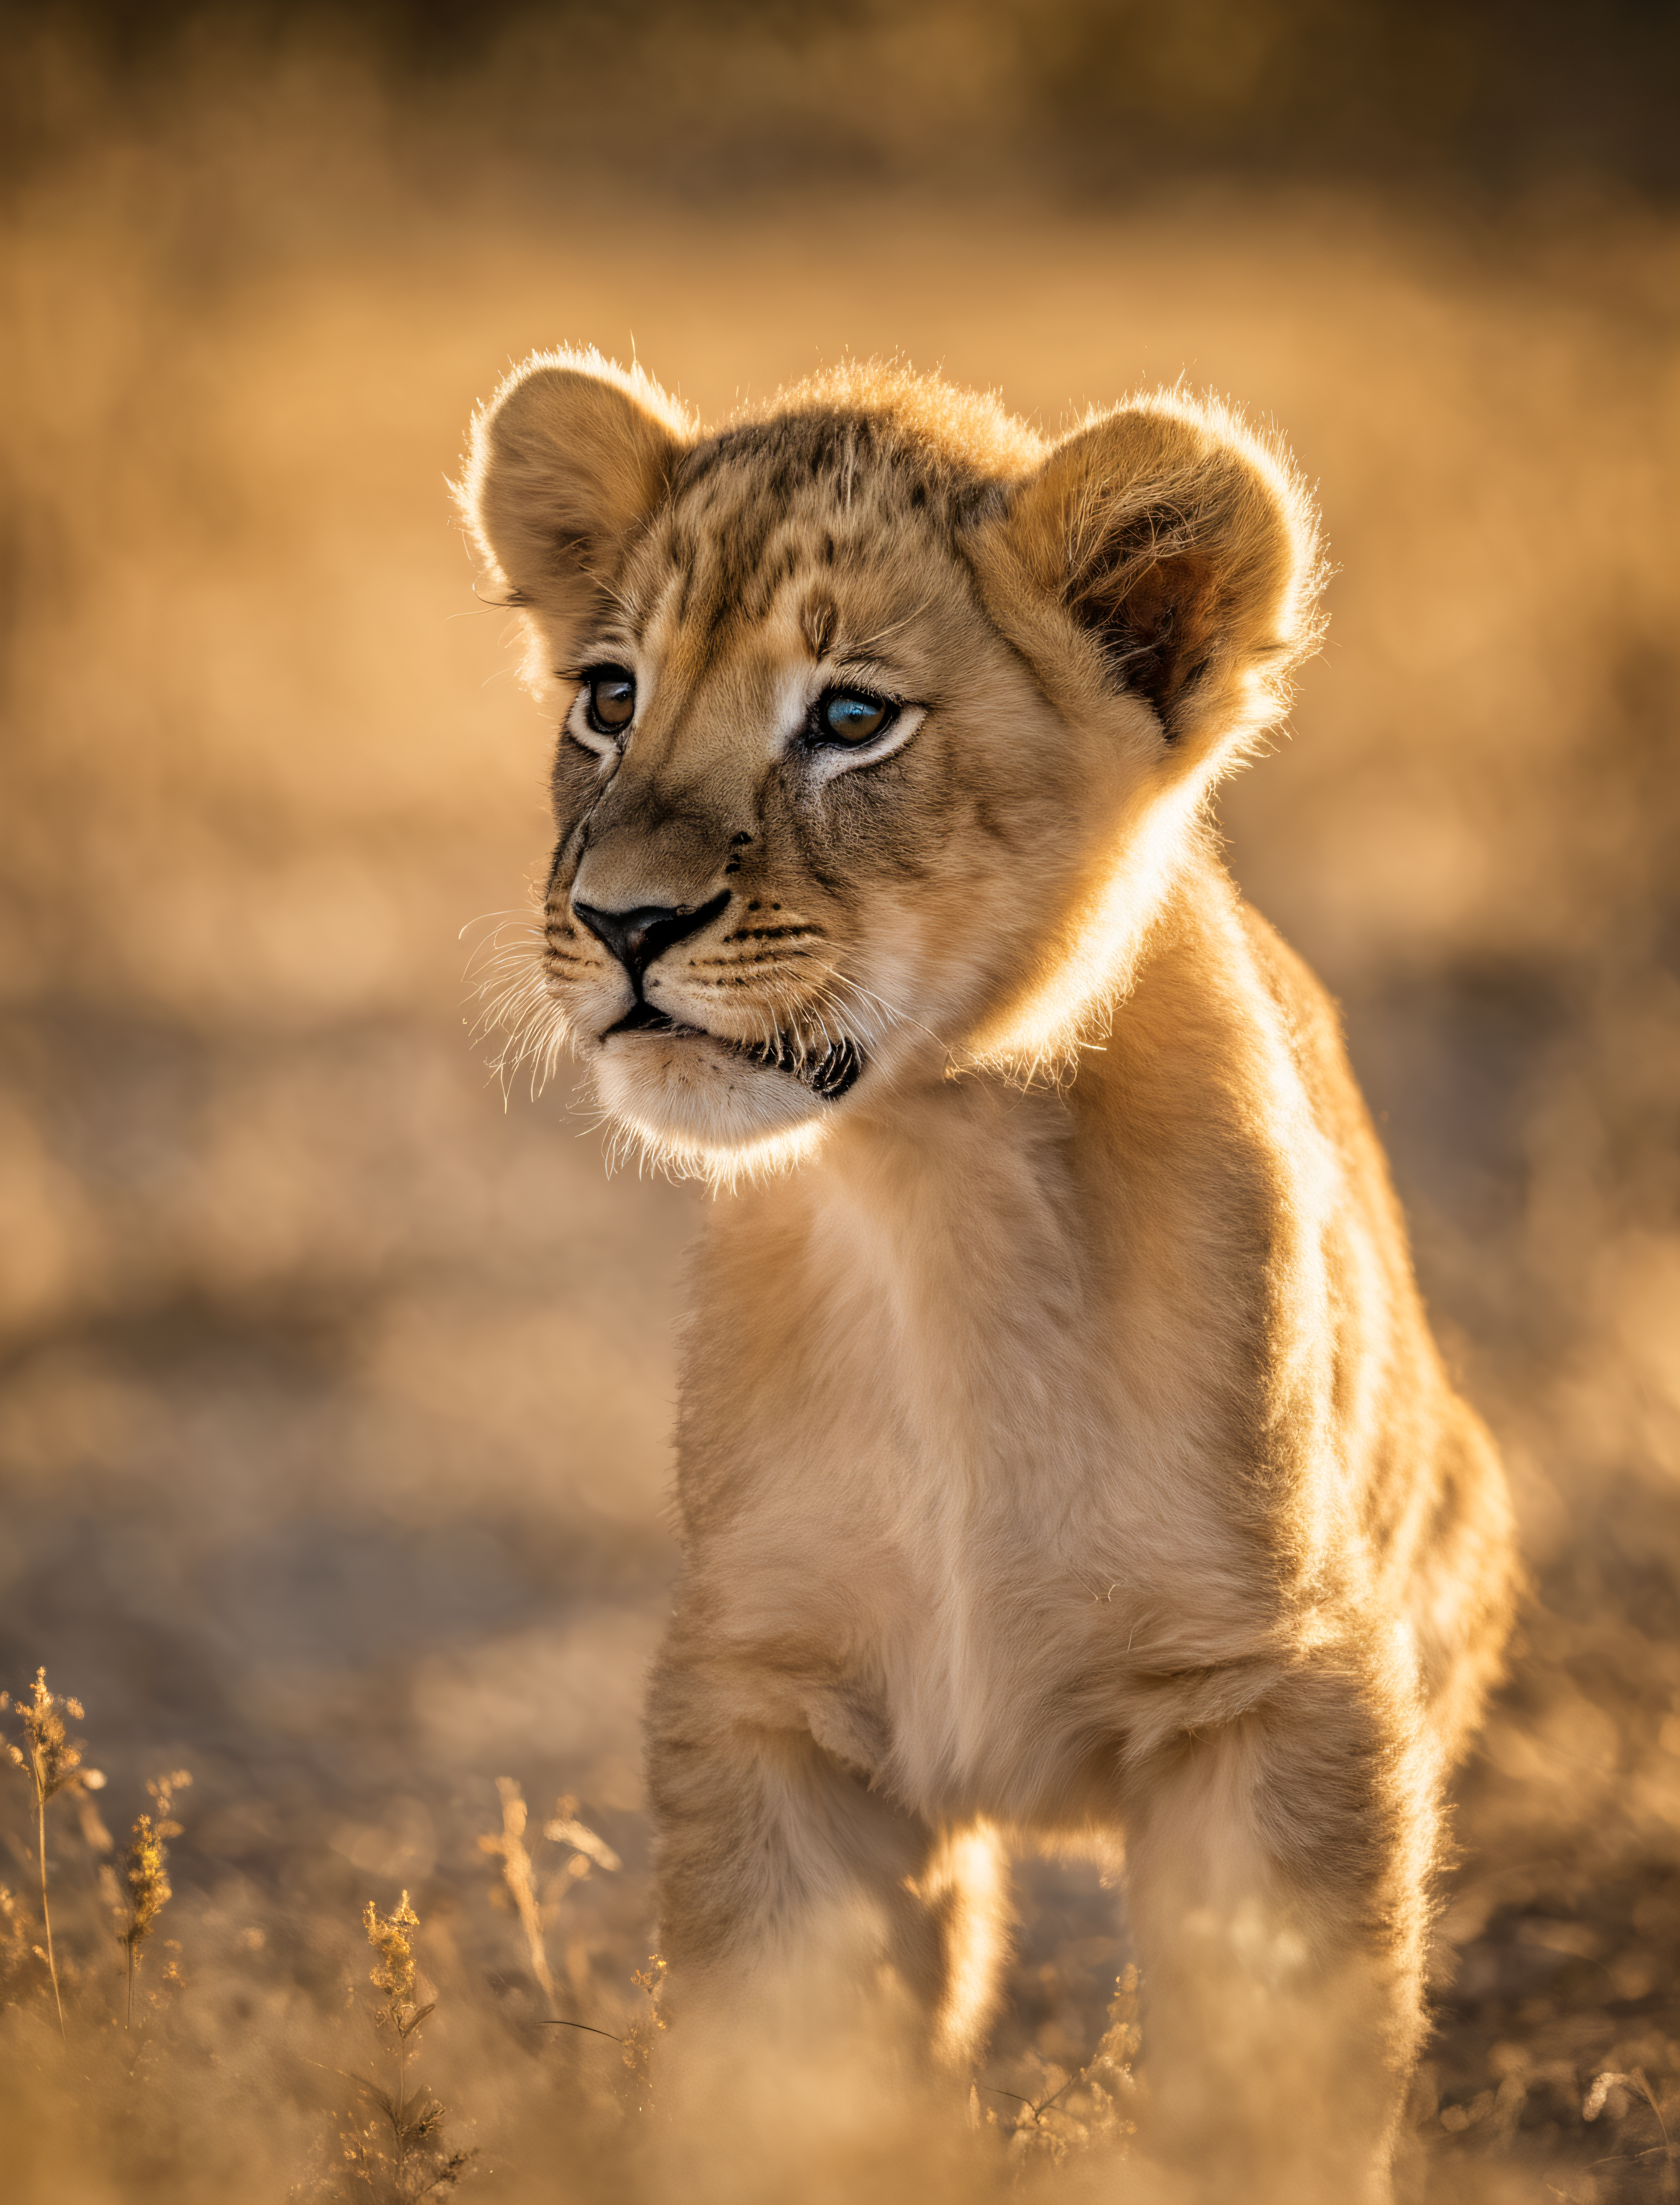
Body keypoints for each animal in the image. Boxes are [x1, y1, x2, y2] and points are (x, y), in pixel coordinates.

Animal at [460, 351, 1516, 2200]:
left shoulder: (1284, 1692)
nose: (621, 923)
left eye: (850, 720)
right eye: (607, 694)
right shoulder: (764, 1695)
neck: (931, 1189)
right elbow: (781, 2083)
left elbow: (1273, 2092)